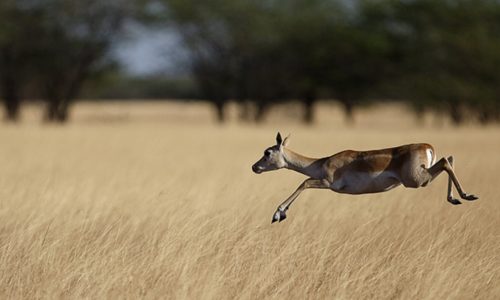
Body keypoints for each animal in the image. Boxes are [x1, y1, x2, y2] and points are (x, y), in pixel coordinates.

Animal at [252, 132, 478, 223]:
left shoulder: (326, 182)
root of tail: (427, 146)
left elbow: (304, 182)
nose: (254, 167)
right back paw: (457, 198)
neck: (323, 163)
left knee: (446, 162)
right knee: (450, 158)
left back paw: (466, 195)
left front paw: (278, 214)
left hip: (416, 181)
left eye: (267, 152)